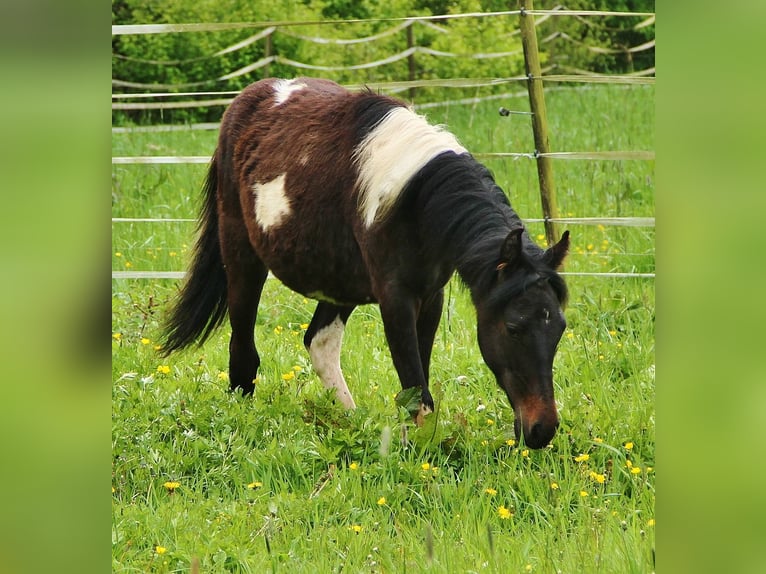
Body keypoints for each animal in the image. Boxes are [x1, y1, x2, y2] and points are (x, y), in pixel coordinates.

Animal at [162, 76, 568, 450]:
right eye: (513, 327)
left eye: (560, 328)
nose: (542, 430)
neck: (415, 200)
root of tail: (247, 99)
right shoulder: (396, 299)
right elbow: (416, 389)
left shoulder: (430, 298)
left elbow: (417, 381)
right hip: (242, 257)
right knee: (243, 350)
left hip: (338, 281)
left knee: (319, 342)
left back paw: (348, 420)